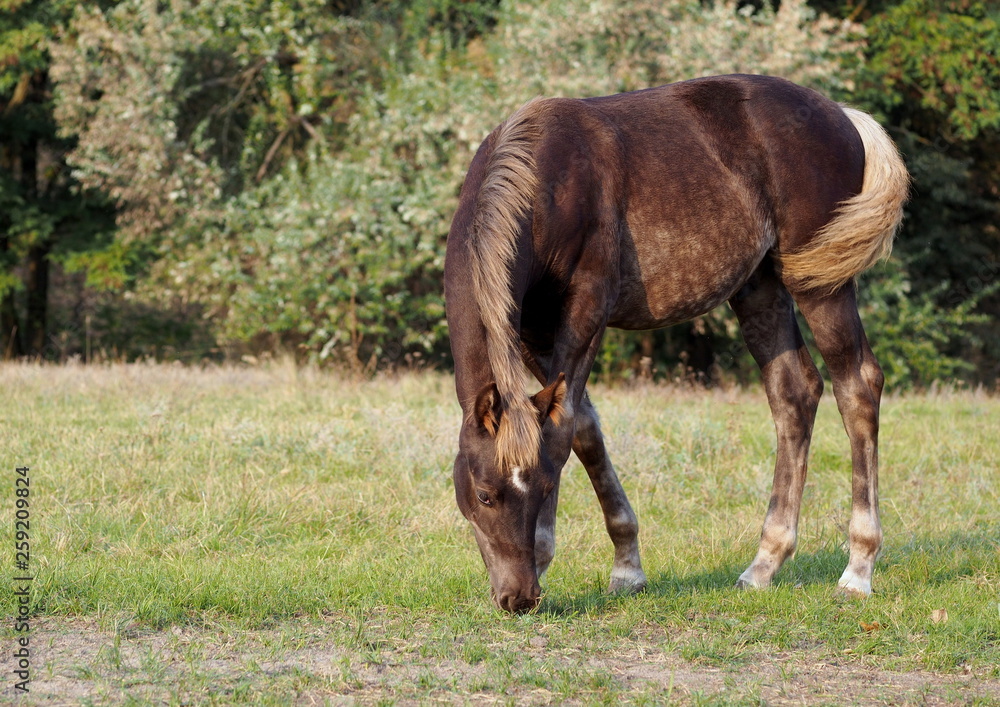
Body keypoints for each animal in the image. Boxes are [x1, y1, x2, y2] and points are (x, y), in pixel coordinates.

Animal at [444, 74, 908, 613]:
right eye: (484, 494)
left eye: (543, 487)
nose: (518, 596)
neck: (548, 181)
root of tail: (842, 115)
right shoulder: (534, 334)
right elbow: (582, 428)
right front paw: (626, 566)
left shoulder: (586, 310)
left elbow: (563, 433)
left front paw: (550, 556)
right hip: (760, 287)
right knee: (794, 393)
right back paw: (764, 563)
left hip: (820, 283)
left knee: (857, 387)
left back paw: (858, 567)